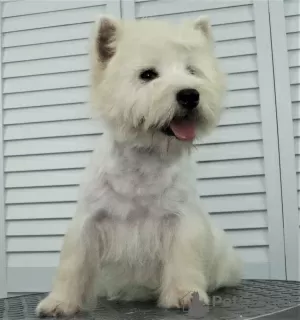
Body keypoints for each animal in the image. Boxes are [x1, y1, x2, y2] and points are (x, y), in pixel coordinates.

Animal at [37, 15, 241, 318]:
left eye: (192, 70)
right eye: (147, 75)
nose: (190, 95)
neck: (144, 158)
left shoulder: (181, 221)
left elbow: (183, 260)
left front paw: (184, 295)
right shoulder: (89, 221)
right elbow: (74, 263)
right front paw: (59, 302)